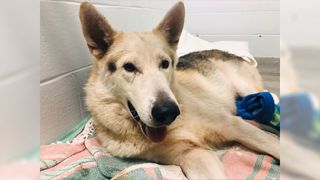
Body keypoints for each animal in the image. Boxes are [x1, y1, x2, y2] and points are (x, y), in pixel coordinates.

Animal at [79, 1, 280, 179]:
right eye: (129, 67)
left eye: (165, 64)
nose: (167, 112)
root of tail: (224, 51)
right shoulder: (194, 155)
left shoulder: (233, 125)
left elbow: (276, 145)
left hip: (246, 88)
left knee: (270, 96)